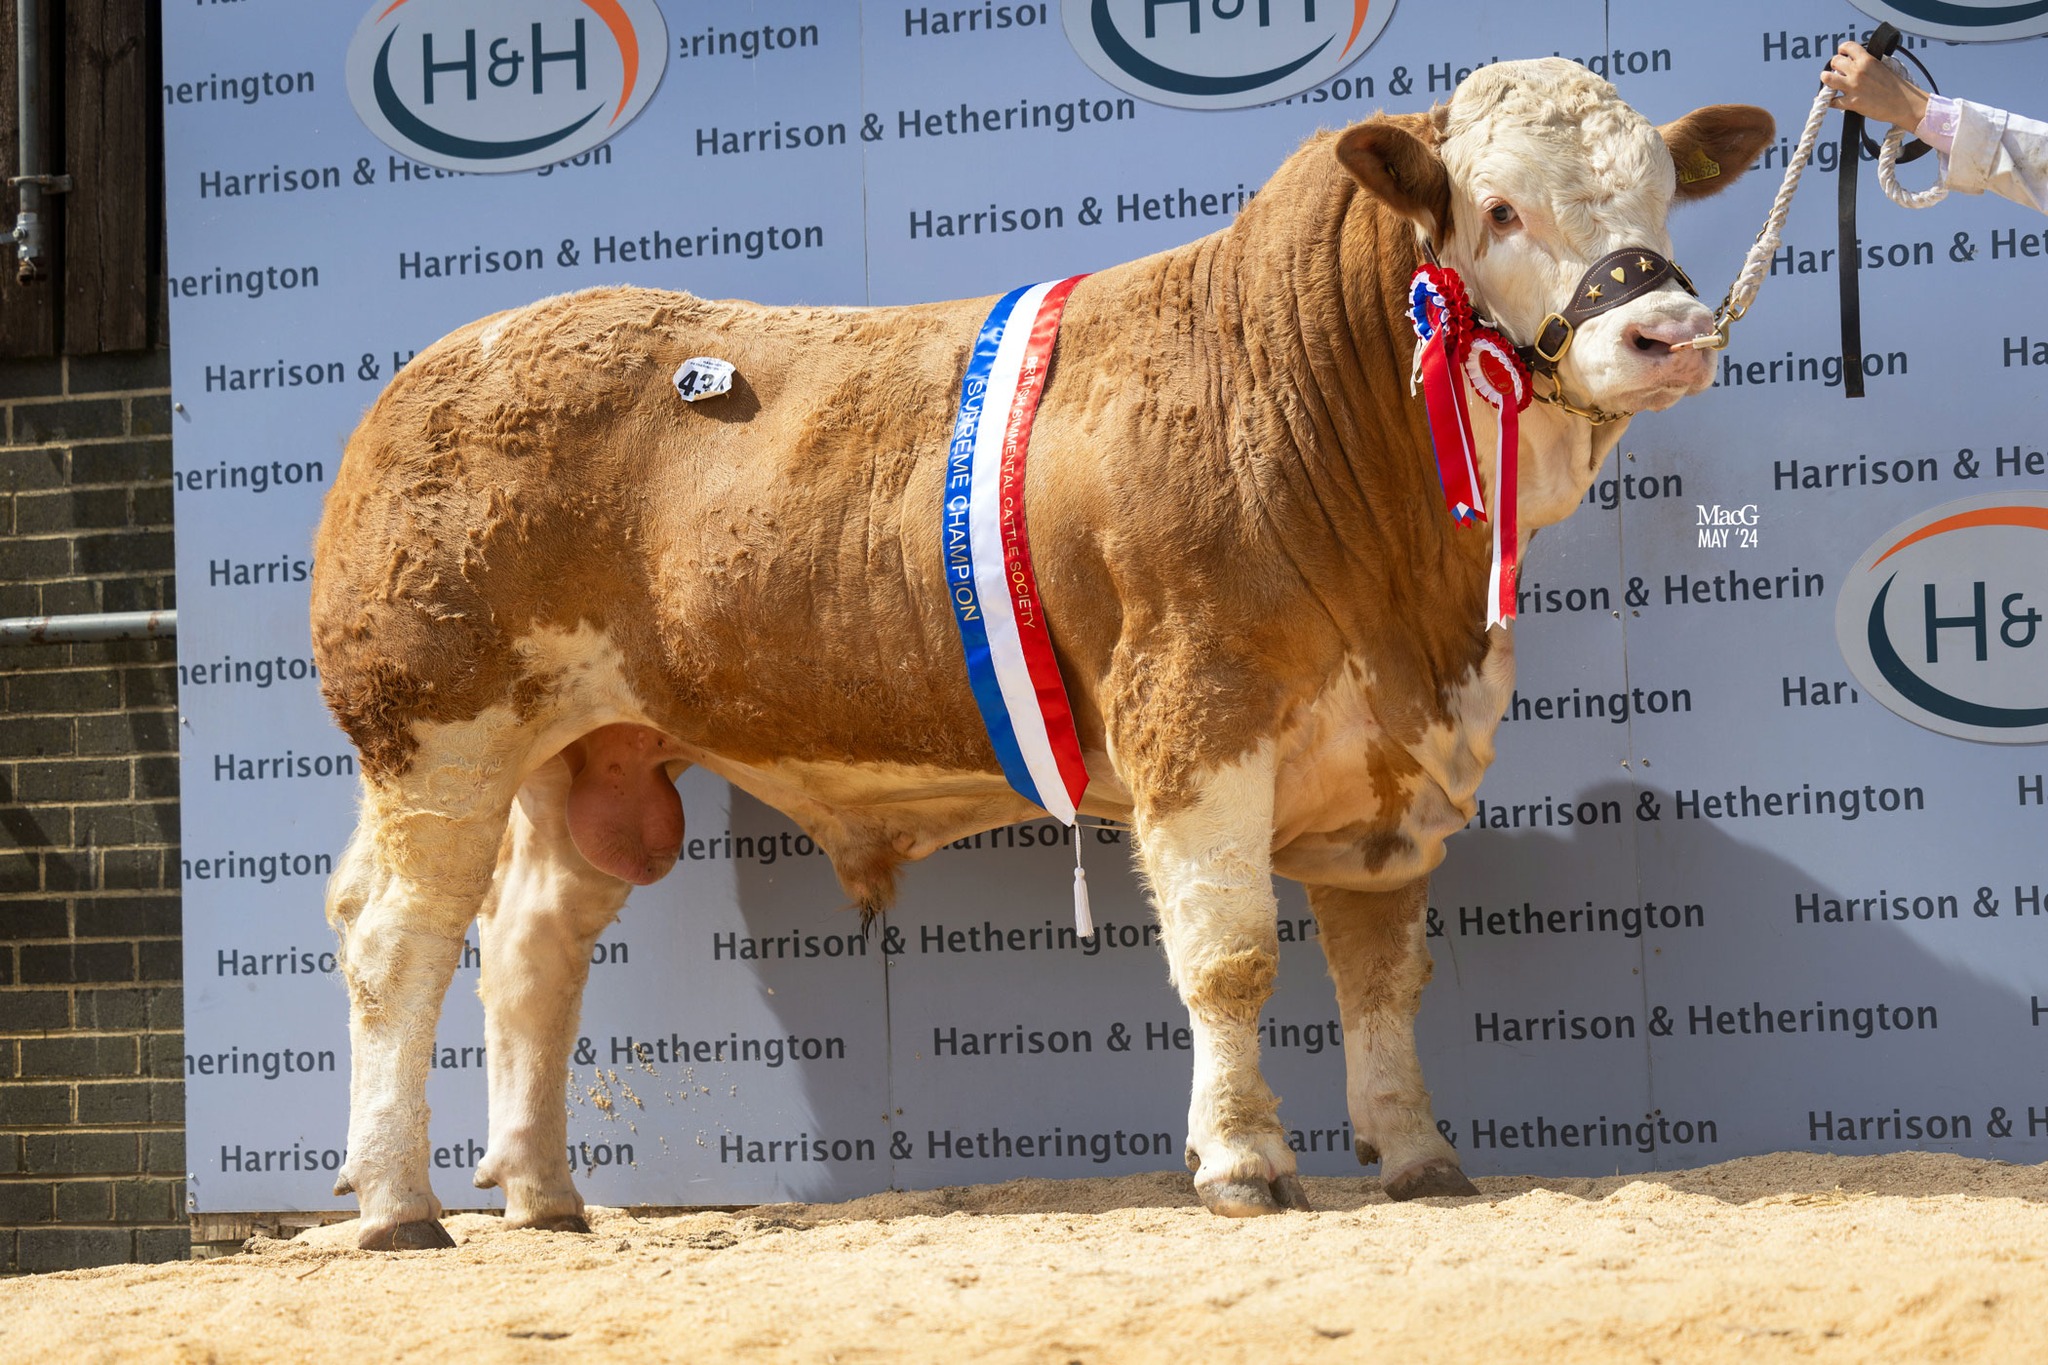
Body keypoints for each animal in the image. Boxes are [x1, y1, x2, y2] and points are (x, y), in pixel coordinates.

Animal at [309, 58, 1773, 1249]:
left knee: (530, 947)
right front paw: (1243, 1163)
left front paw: (1417, 1155)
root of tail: (442, 362)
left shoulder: (1393, 761)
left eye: (1662, 195)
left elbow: (1380, 968)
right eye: (1501, 208)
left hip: (586, 753)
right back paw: (397, 1203)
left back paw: (545, 1196)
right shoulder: (1196, 713)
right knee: (396, 943)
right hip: (436, 731)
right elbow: (1231, 953)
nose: (1669, 335)